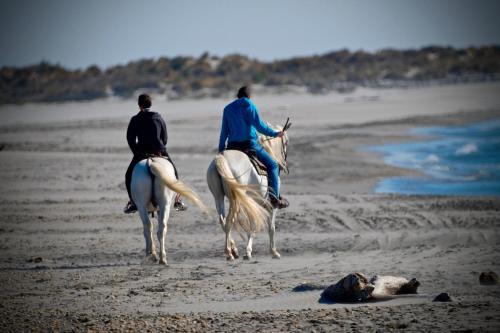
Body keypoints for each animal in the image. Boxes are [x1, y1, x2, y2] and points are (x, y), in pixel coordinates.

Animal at [205, 124, 290, 260]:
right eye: (286, 143)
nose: (284, 165)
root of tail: (222, 158)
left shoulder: (252, 202)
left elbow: (253, 224)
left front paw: (248, 251)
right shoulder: (271, 205)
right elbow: (270, 227)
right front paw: (273, 252)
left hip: (218, 197)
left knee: (223, 221)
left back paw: (233, 250)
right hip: (235, 200)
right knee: (229, 221)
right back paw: (229, 253)